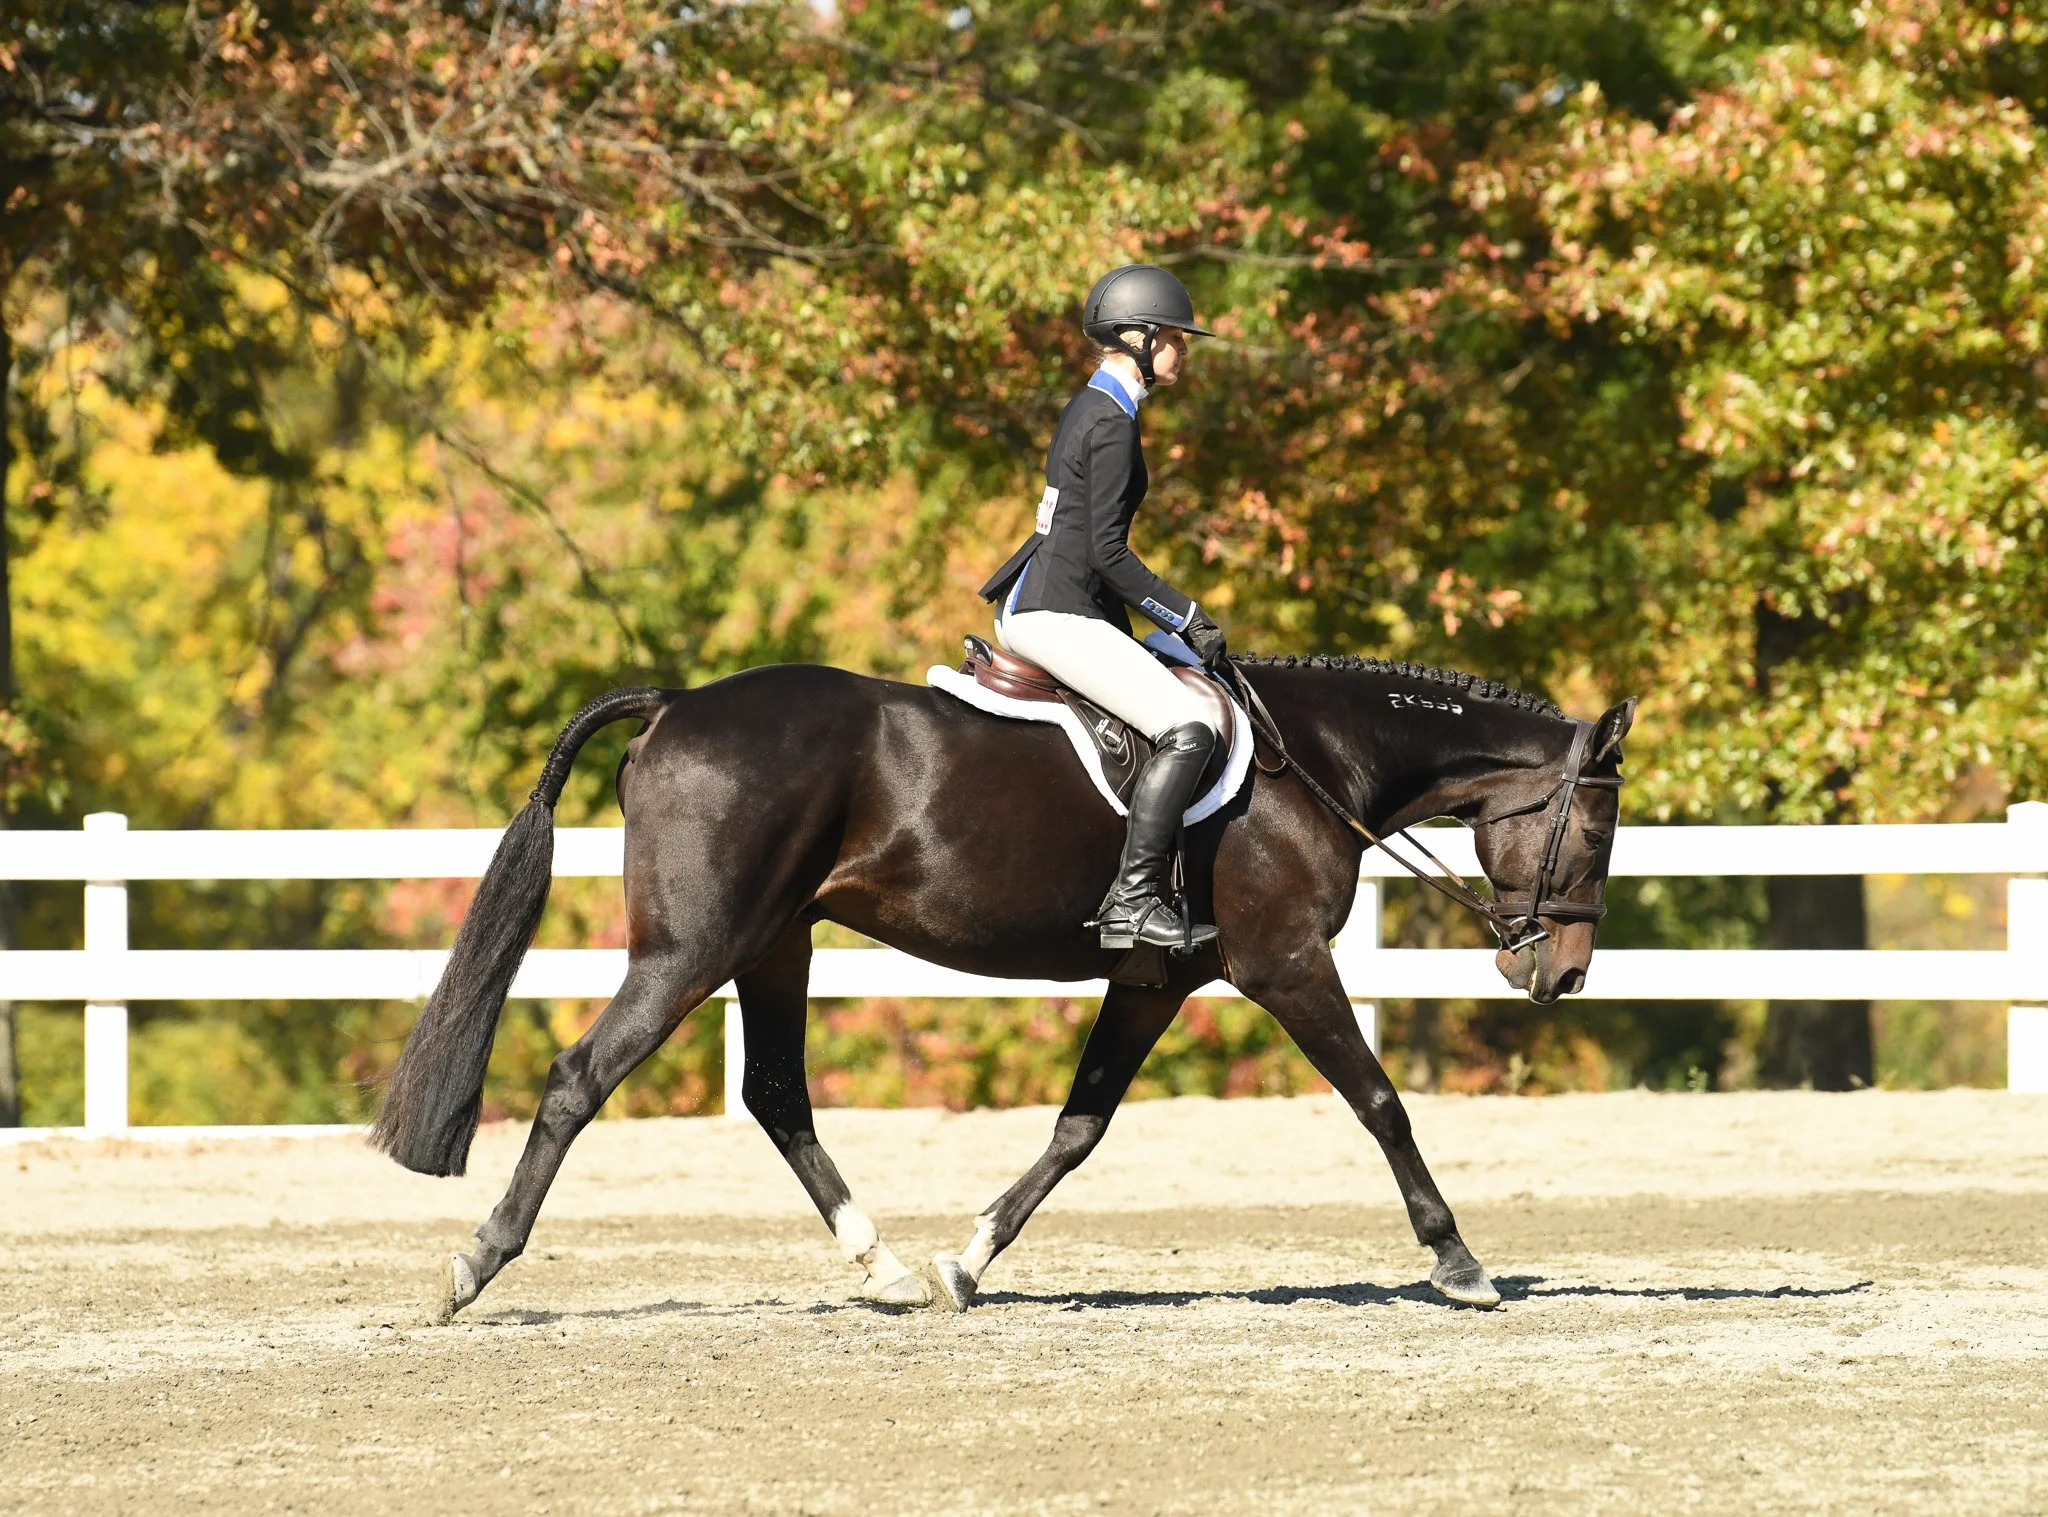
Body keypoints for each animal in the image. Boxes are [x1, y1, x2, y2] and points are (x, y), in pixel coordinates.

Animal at [369, 654, 1634, 1320]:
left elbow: (1080, 1125)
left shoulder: (1156, 977)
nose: (1560, 970)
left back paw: (883, 1269)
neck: (1312, 766)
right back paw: (473, 1264)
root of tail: (676, 704)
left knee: (776, 1094)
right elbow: (1381, 1104)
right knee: (579, 1079)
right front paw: (1459, 1263)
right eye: (1595, 829)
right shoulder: (1283, 964)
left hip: (774, 942)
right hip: (694, 950)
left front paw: (966, 1258)